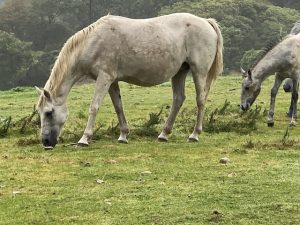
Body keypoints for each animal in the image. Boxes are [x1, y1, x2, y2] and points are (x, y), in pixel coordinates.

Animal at [34, 13, 223, 149]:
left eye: (49, 112)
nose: (45, 142)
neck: (94, 41)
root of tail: (206, 22)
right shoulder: (112, 81)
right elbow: (118, 107)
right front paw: (123, 136)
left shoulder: (104, 77)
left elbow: (94, 107)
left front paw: (84, 139)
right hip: (180, 72)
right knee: (178, 99)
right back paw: (163, 134)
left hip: (199, 72)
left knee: (200, 100)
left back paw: (194, 135)